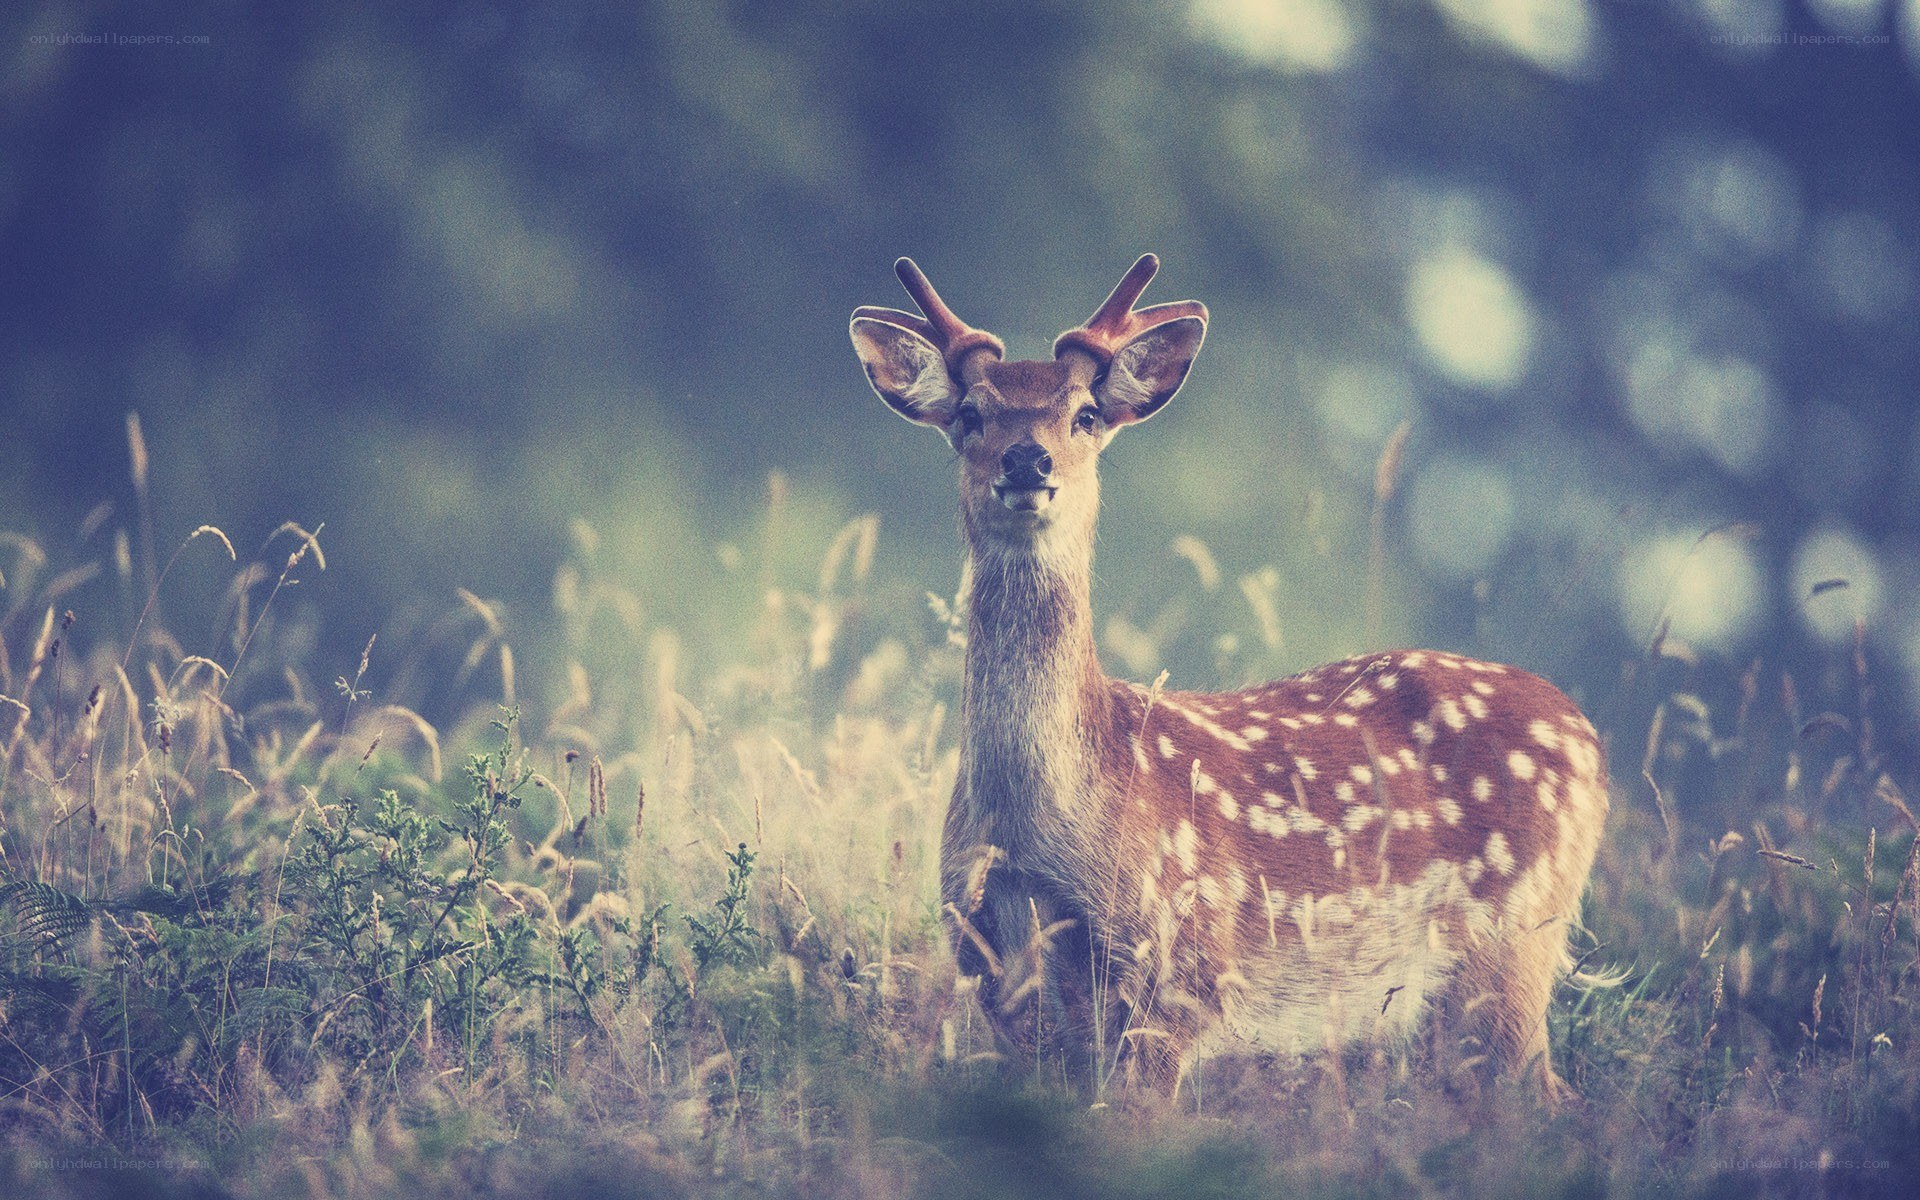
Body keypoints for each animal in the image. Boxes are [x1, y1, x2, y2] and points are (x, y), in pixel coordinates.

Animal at [849, 255, 1610, 1103]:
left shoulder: (1179, 974)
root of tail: (1585, 734)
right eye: (971, 414)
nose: (1026, 459)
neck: (1037, 830)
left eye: (1085, 415)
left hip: (1516, 937)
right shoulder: (999, 980)